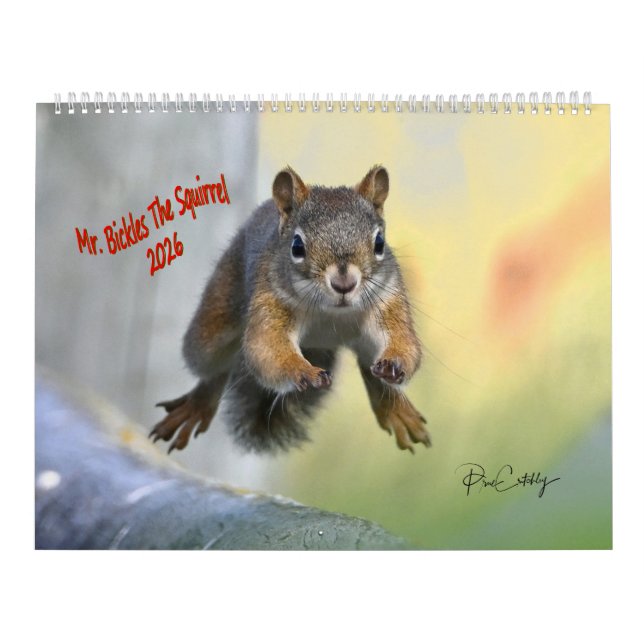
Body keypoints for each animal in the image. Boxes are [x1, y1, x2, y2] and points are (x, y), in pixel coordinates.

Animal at [150, 165, 430, 454]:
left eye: (379, 243)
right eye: (297, 246)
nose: (344, 284)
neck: (330, 315)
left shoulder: (388, 300)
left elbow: (405, 343)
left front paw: (395, 363)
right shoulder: (271, 300)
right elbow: (266, 348)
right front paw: (302, 372)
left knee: (370, 368)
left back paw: (396, 410)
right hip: (213, 324)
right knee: (215, 368)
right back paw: (197, 405)